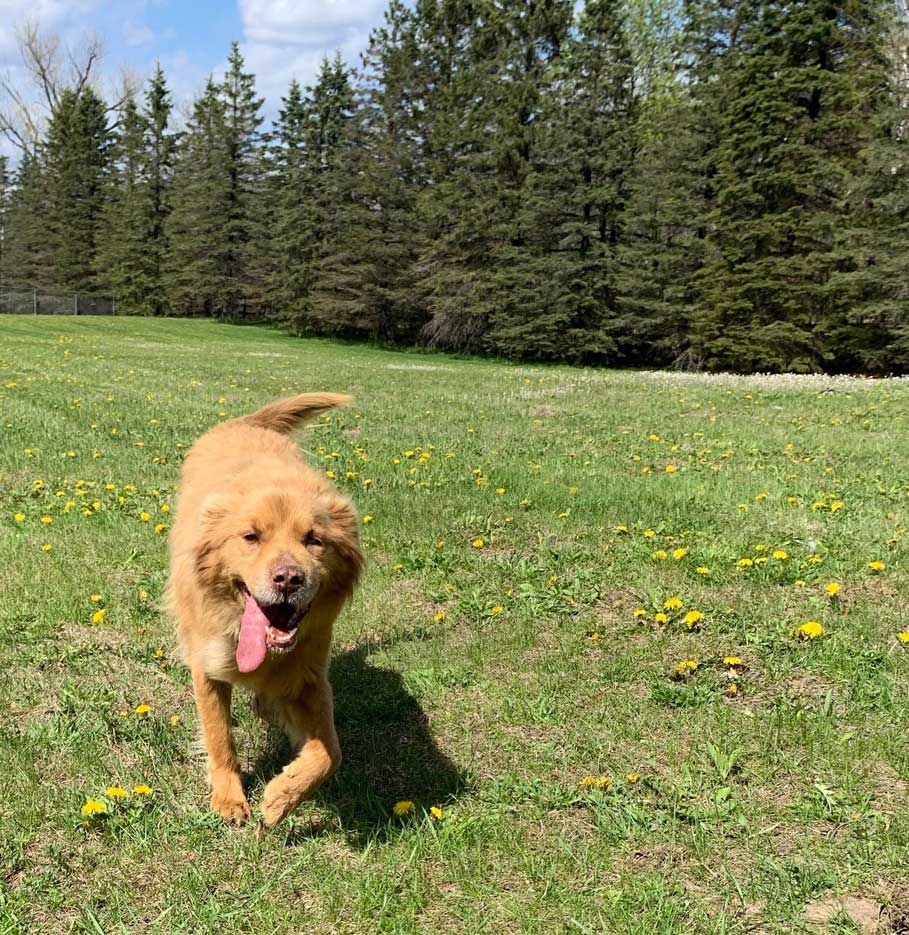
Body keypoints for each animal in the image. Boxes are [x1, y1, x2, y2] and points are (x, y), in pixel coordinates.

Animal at [167, 394, 362, 828]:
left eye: (314, 540)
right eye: (251, 536)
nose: (288, 579)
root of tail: (245, 422)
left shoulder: (308, 676)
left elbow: (331, 751)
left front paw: (281, 797)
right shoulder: (207, 668)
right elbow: (219, 737)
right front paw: (228, 798)